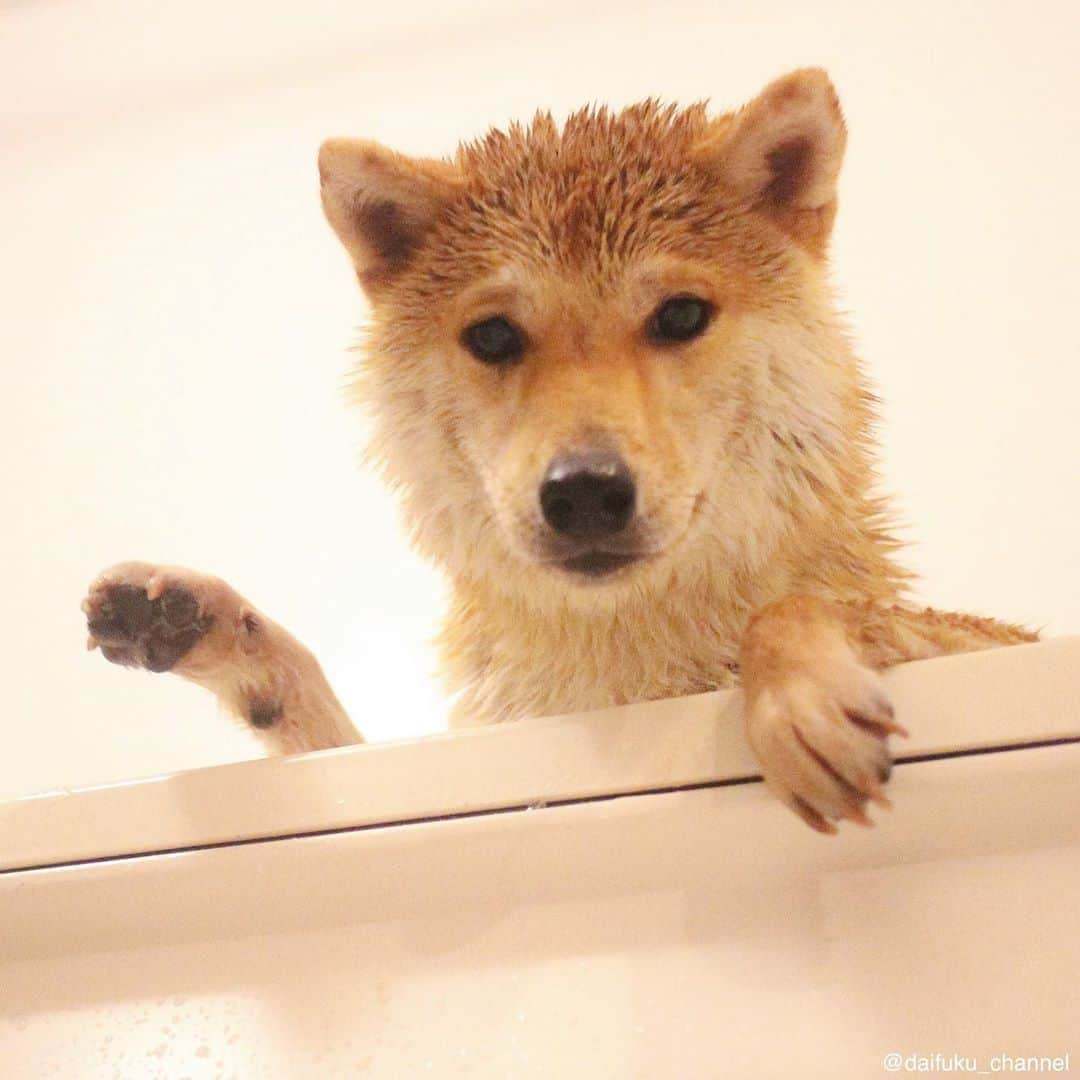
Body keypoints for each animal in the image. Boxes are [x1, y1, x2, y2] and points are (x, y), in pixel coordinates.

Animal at [79, 69, 1032, 833]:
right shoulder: (463, 745)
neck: (617, 677)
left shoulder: (1005, 640)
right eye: (495, 336)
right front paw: (204, 619)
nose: (583, 490)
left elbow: (808, 610)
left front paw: (797, 689)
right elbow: (312, 711)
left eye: (681, 315)